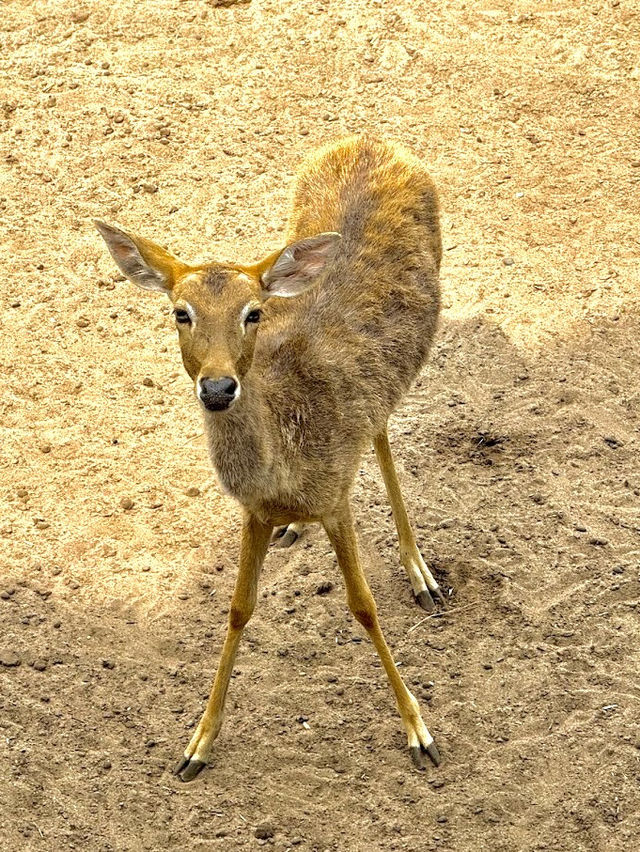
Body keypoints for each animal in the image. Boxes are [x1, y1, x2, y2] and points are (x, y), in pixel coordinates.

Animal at [95, 131, 444, 780]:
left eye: (252, 312)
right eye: (180, 312)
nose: (217, 387)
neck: (284, 465)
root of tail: (367, 139)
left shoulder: (334, 497)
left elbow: (363, 606)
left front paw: (419, 731)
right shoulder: (253, 512)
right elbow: (237, 608)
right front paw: (196, 746)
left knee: (383, 433)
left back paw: (421, 573)